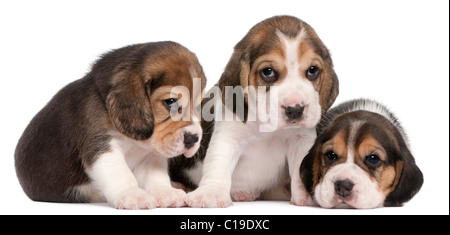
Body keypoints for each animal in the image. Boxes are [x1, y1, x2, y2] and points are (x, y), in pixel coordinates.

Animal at [14, 40, 207, 209]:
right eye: (170, 102)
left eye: (198, 106)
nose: (193, 138)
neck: (136, 142)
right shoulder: (103, 147)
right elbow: (121, 174)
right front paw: (134, 196)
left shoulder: (150, 155)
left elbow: (155, 175)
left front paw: (166, 192)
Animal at [171, 15, 340, 207]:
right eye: (268, 72)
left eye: (312, 70)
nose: (295, 109)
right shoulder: (228, 136)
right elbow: (218, 164)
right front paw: (211, 193)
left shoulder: (301, 140)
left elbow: (299, 167)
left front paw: (306, 195)